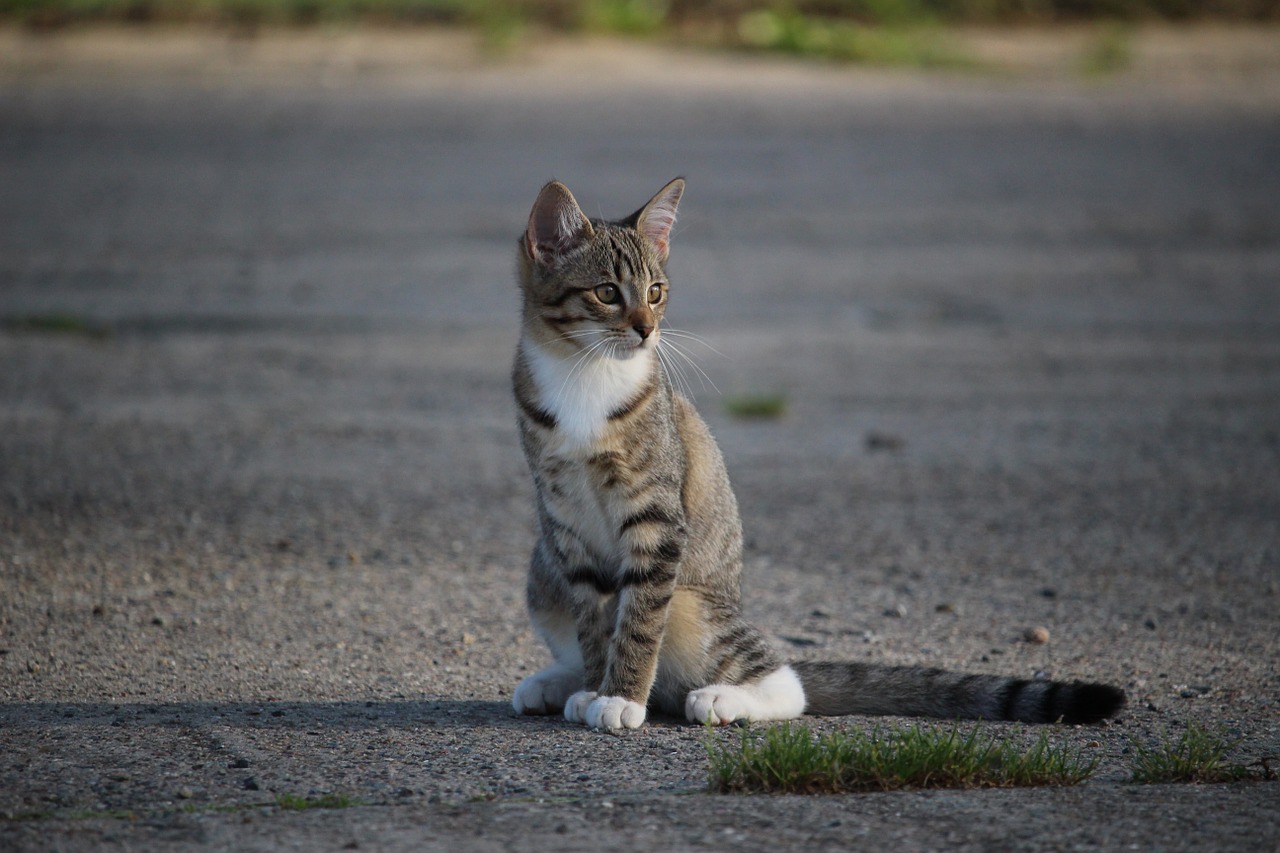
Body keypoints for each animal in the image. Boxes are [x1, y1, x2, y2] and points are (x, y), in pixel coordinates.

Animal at [504, 175, 1126, 727]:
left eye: (656, 292)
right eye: (607, 292)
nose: (646, 330)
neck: (584, 376)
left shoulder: (657, 521)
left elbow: (636, 621)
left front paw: (620, 698)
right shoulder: (566, 525)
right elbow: (592, 621)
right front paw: (593, 687)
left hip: (690, 603)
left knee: (783, 683)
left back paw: (721, 698)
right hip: (542, 569)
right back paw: (557, 683)